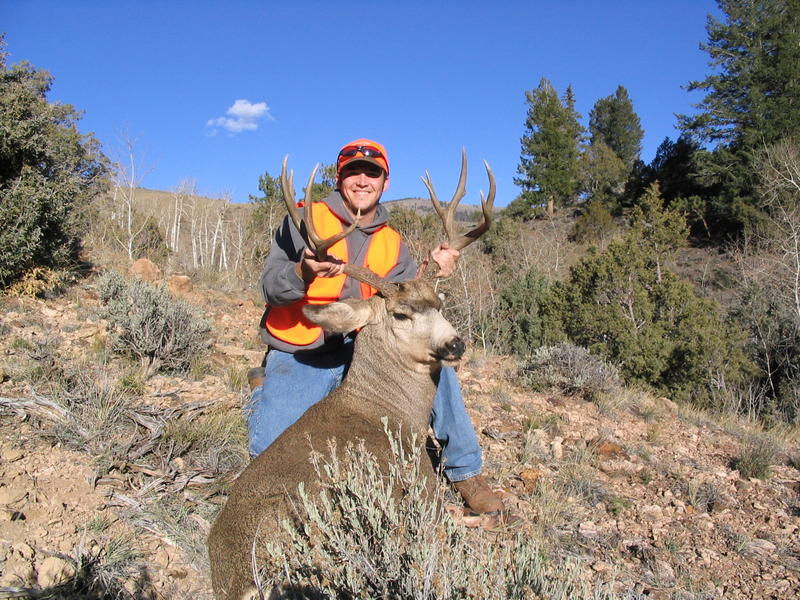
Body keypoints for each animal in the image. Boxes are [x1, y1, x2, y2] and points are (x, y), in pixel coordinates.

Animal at [206, 150, 494, 600]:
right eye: (401, 314)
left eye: (440, 303)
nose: (455, 344)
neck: (389, 410)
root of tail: (239, 580)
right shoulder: (423, 488)